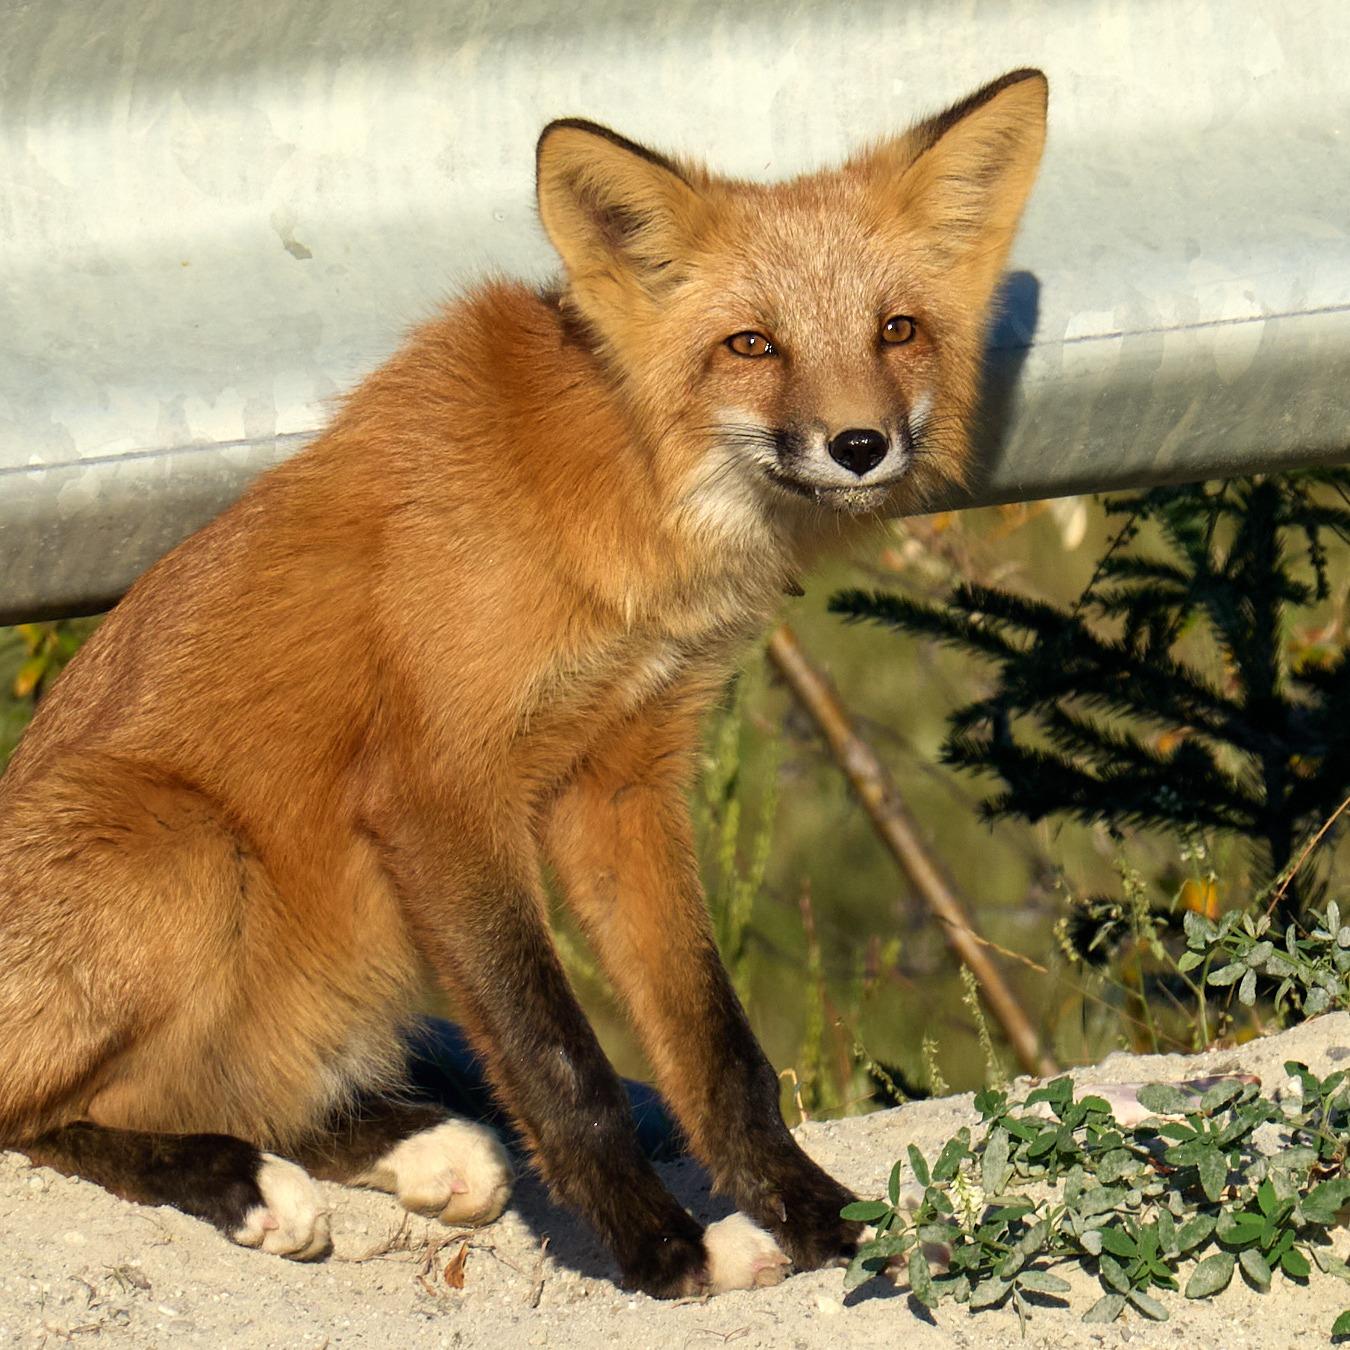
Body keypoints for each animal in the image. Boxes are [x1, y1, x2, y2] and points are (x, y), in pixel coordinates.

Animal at [0, 69, 1047, 1297]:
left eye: (897, 331)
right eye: (752, 344)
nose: (860, 445)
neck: (621, 513)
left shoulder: (621, 784)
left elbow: (718, 1051)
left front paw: (818, 1217)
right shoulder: (440, 789)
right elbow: (564, 1061)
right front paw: (663, 1251)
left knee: (208, 1093)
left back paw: (405, 1149)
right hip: (186, 852)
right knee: (48, 1115)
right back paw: (244, 1182)